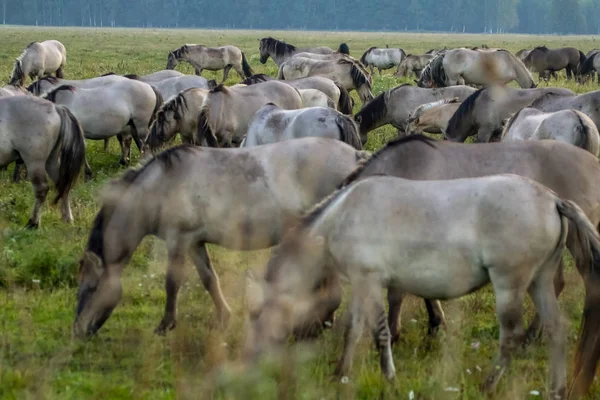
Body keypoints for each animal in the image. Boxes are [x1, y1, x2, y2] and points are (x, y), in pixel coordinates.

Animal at [0, 95, 85, 228]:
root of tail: (55, 107)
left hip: (35, 163)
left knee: (42, 189)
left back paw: (33, 223)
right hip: (51, 162)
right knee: (63, 185)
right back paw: (67, 219)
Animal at [72, 138, 368, 340]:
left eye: (92, 288)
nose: (78, 330)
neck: (160, 186)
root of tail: (355, 155)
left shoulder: (178, 240)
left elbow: (172, 283)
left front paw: (166, 325)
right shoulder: (194, 243)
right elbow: (209, 279)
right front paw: (224, 318)